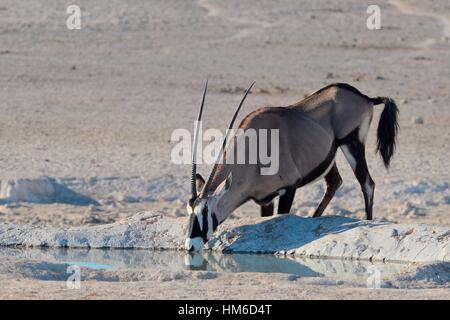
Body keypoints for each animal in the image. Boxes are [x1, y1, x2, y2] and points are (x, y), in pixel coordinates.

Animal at [185, 81, 400, 251]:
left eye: (205, 212)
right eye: (189, 213)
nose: (190, 246)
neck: (253, 150)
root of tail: (364, 97)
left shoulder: (289, 187)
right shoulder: (266, 199)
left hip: (352, 143)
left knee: (367, 183)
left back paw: (367, 221)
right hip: (329, 156)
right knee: (335, 182)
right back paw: (314, 219)